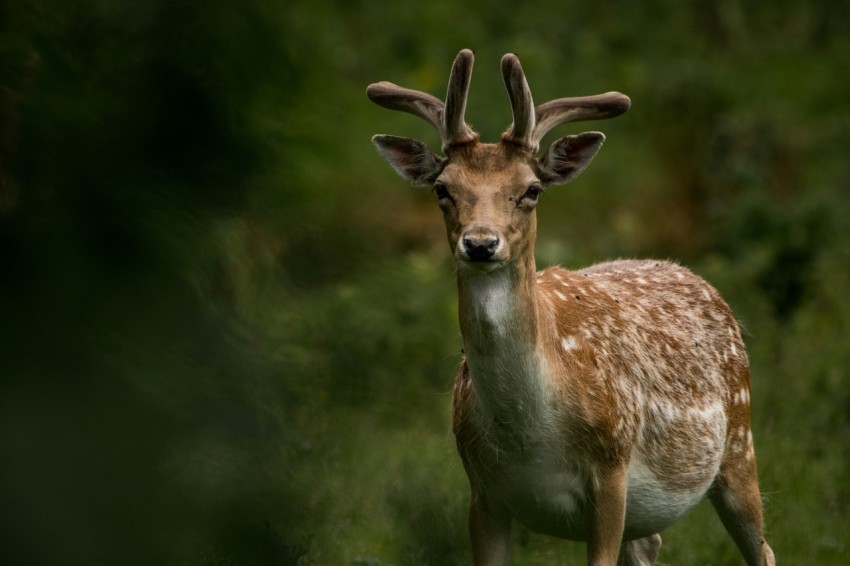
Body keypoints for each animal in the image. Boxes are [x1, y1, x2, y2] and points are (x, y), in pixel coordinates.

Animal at [367, 49, 775, 566]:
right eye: (442, 188)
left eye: (531, 189)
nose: (480, 243)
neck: (529, 437)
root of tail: (697, 279)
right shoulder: (481, 492)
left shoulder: (611, 471)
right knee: (651, 545)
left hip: (740, 443)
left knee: (763, 548)